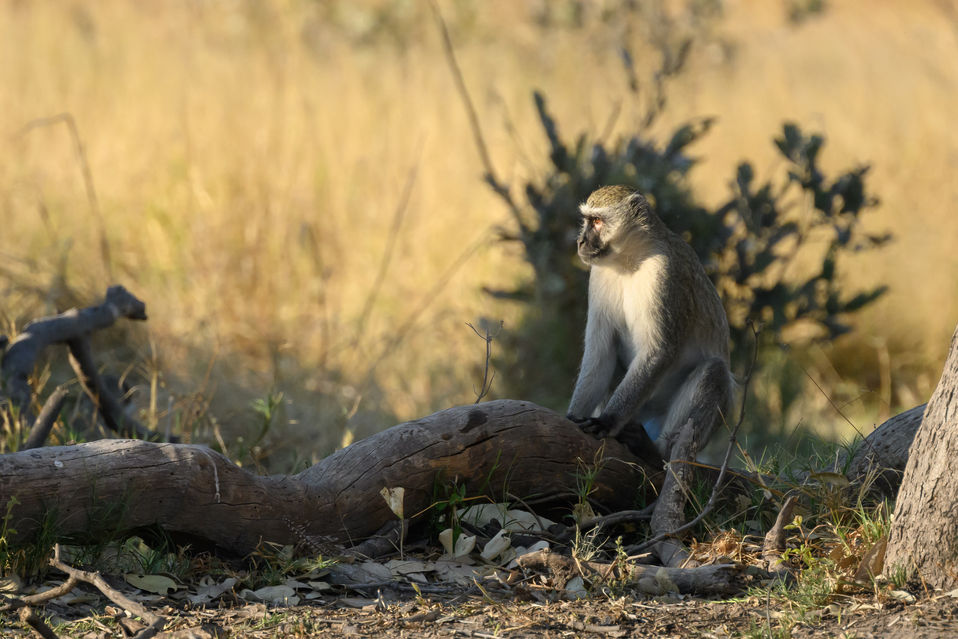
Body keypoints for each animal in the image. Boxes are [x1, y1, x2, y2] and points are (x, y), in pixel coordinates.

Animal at [566, 185, 733, 460]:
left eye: (597, 221)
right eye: (587, 220)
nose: (580, 242)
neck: (629, 261)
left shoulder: (665, 273)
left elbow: (660, 351)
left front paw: (607, 421)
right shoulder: (598, 275)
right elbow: (600, 354)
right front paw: (571, 417)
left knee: (715, 371)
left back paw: (656, 451)